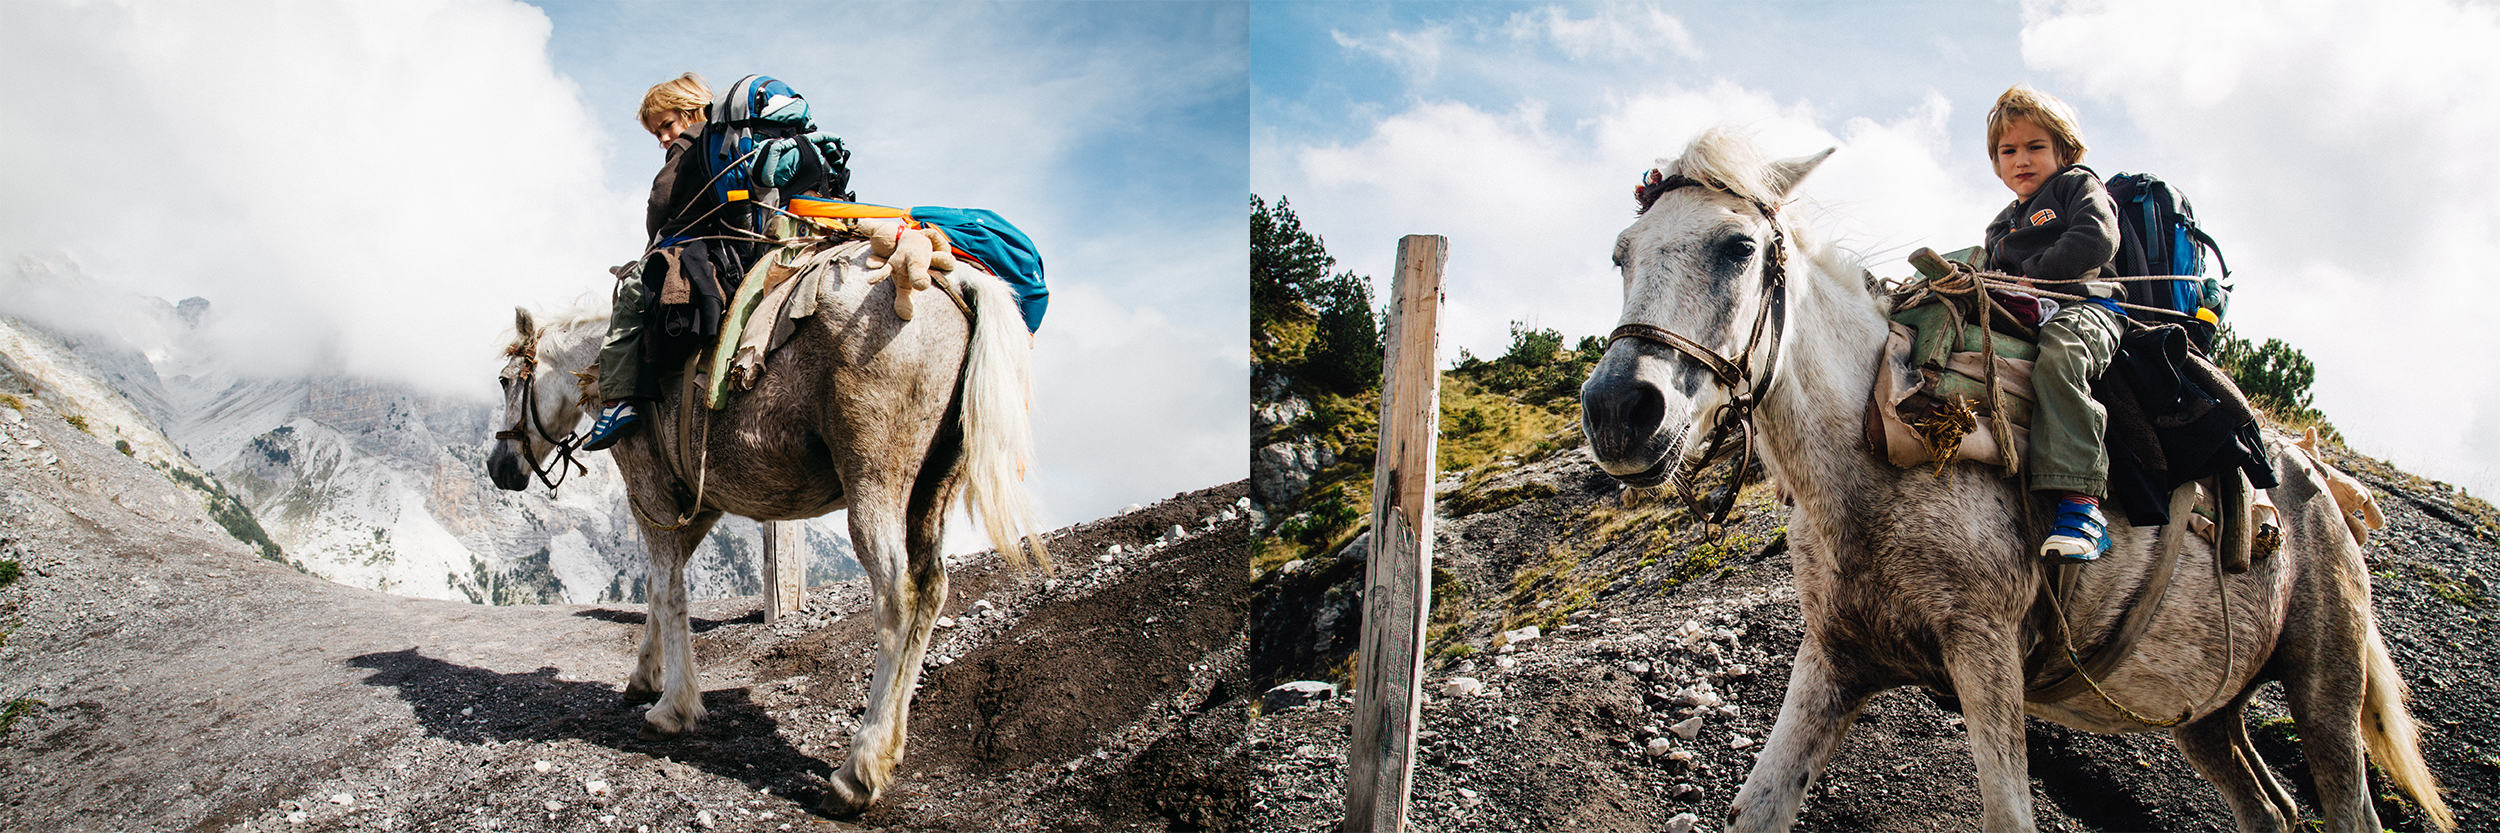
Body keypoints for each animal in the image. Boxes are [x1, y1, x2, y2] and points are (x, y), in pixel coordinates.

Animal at [487, 238, 1045, 810]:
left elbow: (668, 591)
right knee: (932, 592)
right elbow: (658, 587)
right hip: (933, 492)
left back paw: (858, 770)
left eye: (506, 382)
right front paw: (645, 675)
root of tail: (946, 280)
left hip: (875, 482)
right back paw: (889, 749)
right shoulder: (700, 505)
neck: (607, 365)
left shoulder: (652, 493)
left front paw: (672, 708)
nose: (498, 467)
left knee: (898, 597)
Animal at [1580, 130, 2440, 830]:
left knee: (2347, 806)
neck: (1875, 450)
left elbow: (2009, 816)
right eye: (1621, 253)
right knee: (2271, 808)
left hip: (2324, 691)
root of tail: (2319, 481)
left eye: (1737, 247)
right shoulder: (1835, 657)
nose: (1620, 409)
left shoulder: (1985, 651)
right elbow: (1759, 805)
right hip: (2207, 714)